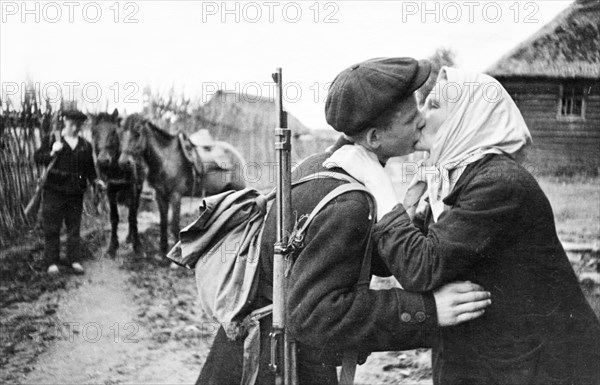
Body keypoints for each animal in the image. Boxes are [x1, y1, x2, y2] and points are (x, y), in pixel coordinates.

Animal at [89, 109, 145, 256]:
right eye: (94, 132)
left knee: (134, 209)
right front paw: (112, 247)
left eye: (114, 132)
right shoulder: (110, 190)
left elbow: (132, 216)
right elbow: (114, 217)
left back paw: (130, 237)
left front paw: (137, 245)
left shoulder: (132, 187)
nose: (103, 161)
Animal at [119, 114, 246, 255]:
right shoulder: (160, 196)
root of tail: (237, 155)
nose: (124, 162)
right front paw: (162, 252)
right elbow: (163, 223)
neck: (166, 159)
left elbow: (174, 226)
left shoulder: (176, 196)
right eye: (121, 133)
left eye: (138, 133)